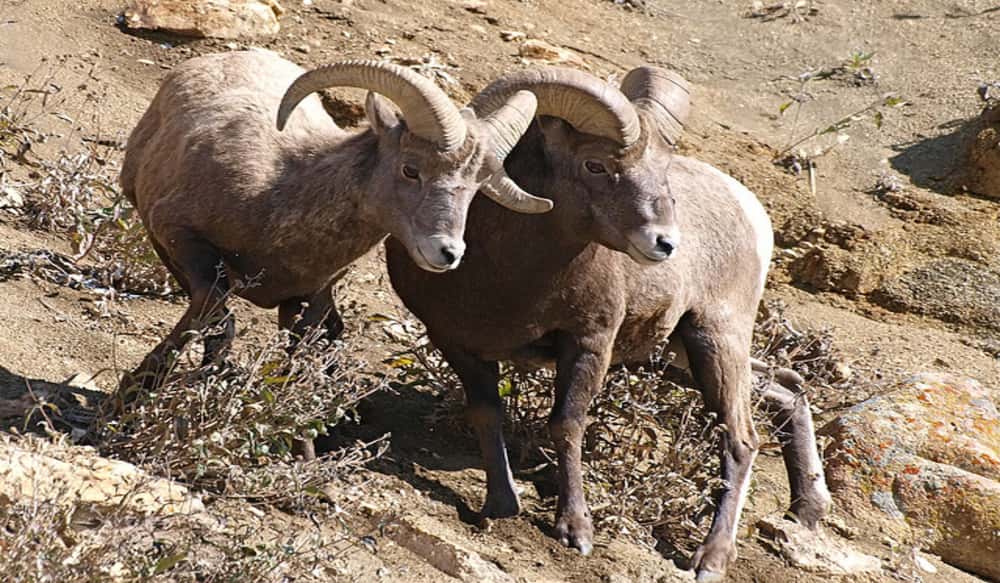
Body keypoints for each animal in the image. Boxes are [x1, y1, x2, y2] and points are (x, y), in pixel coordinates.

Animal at [118, 49, 552, 412]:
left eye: (476, 186)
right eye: (410, 169)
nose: (447, 253)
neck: (277, 197)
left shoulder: (309, 297)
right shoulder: (181, 236)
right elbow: (213, 311)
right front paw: (134, 394)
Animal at [385, 66, 831, 581]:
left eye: (662, 169)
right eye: (595, 165)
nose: (664, 243)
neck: (506, 274)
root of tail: (750, 209)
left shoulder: (588, 343)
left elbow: (566, 425)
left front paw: (575, 531)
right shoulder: (457, 344)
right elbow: (486, 415)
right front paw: (497, 508)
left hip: (715, 341)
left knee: (741, 440)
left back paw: (711, 559)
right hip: (675, 356)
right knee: (788, 386)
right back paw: (808, 508)